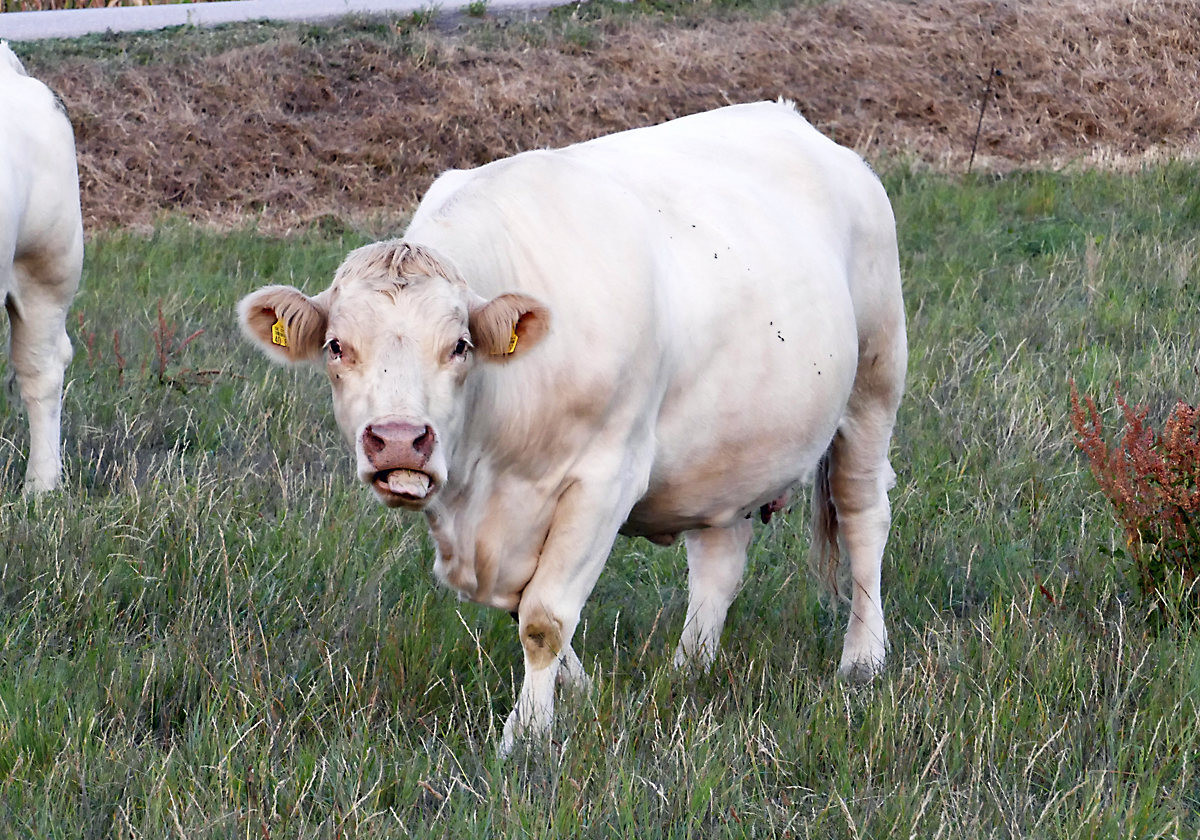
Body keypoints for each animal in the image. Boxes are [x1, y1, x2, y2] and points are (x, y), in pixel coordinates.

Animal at [238, 100, 902, 753]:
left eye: (459, 346)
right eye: (336, 346)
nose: (399, 440)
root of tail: (799, 122)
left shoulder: (606, 477)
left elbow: (543, 617)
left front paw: (528, 734)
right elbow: (520, 605)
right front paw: (582, 693)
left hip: (873, 386)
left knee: (864, 516)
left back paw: (862, 659)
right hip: (728, 452)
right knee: (719, 559)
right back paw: (688, 668)